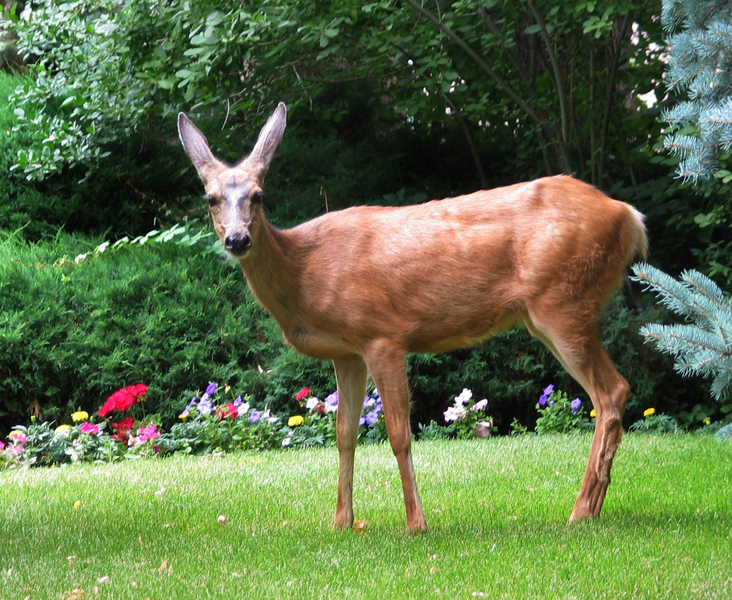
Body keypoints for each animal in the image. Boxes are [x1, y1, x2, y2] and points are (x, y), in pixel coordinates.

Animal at [177, 101, 648, 532]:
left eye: (258, 195)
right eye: (210, 198)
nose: (238, 239)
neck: (305, 271)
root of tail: (629, 216)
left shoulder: (382, 334)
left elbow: (399, 433)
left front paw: (416, 522)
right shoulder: (346, 352)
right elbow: (344, 434)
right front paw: (342, 522)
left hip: (563, 302)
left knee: (612, 391)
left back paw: (581, 509)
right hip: (548, 312)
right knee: (612, 391)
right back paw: (593, 504)